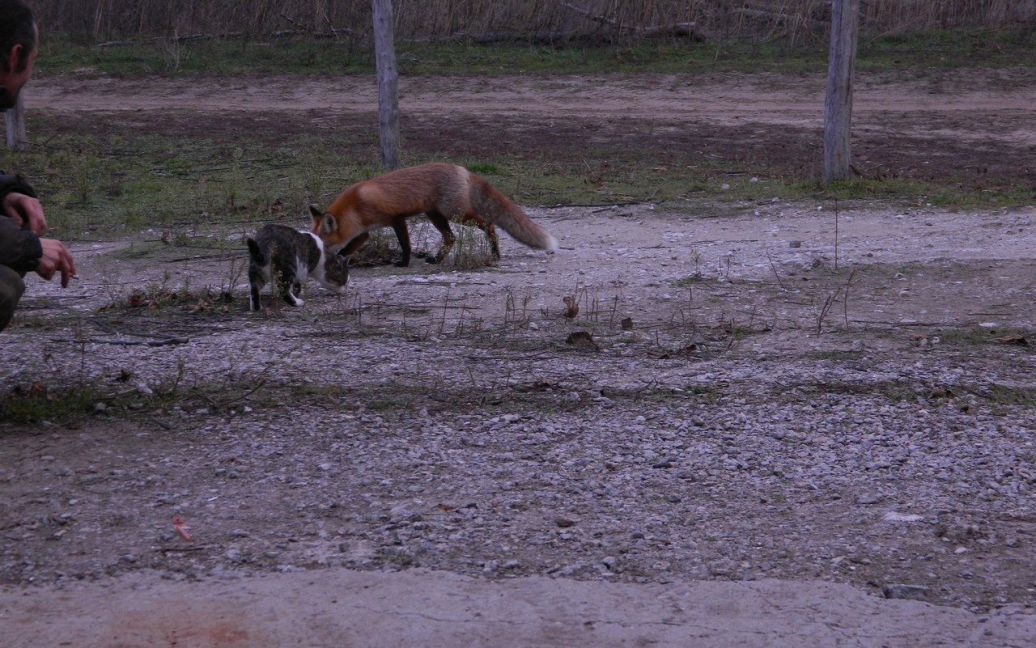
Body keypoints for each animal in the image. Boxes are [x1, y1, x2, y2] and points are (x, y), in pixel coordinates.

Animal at [306, 162, 559, 267]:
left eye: (323, 243)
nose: (314, 258)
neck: (357, 204)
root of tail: (462, 169)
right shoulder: (365, 232)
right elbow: (349, 247)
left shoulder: (396, 219)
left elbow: (405, 245)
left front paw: (403, 263)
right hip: (435, 215)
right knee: (451, 238)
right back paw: (437, 259)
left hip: (456, 214)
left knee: (489, 224)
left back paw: (495, 252)